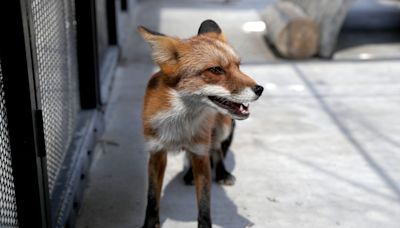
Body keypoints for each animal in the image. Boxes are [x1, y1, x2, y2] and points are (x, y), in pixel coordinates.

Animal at [139, 19, 264, 228]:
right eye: (216, 69)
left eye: (238, 66)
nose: (260, 89)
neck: (180, 126)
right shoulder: (156, 152)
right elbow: (151, 198)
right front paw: (149, 224)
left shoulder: (200, 153)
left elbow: (204, 205)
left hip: (222, 129)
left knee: (217, 150)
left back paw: (222, 173)